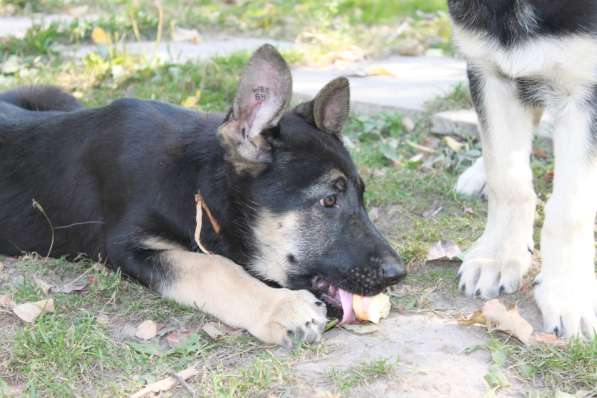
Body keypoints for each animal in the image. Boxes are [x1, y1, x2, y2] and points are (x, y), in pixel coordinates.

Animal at [0, 45, 406, 346]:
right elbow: (213, 267)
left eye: (362, 197)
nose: (398, 274)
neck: (195, 182)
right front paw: (279, 308)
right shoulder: (126, 245)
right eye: (328, 201)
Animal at [448, 0, 596, 338]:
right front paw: (498, 256)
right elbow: (507, 178)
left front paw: (569, 293)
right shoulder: (489, 70)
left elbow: (570, 209)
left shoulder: (585, 91)